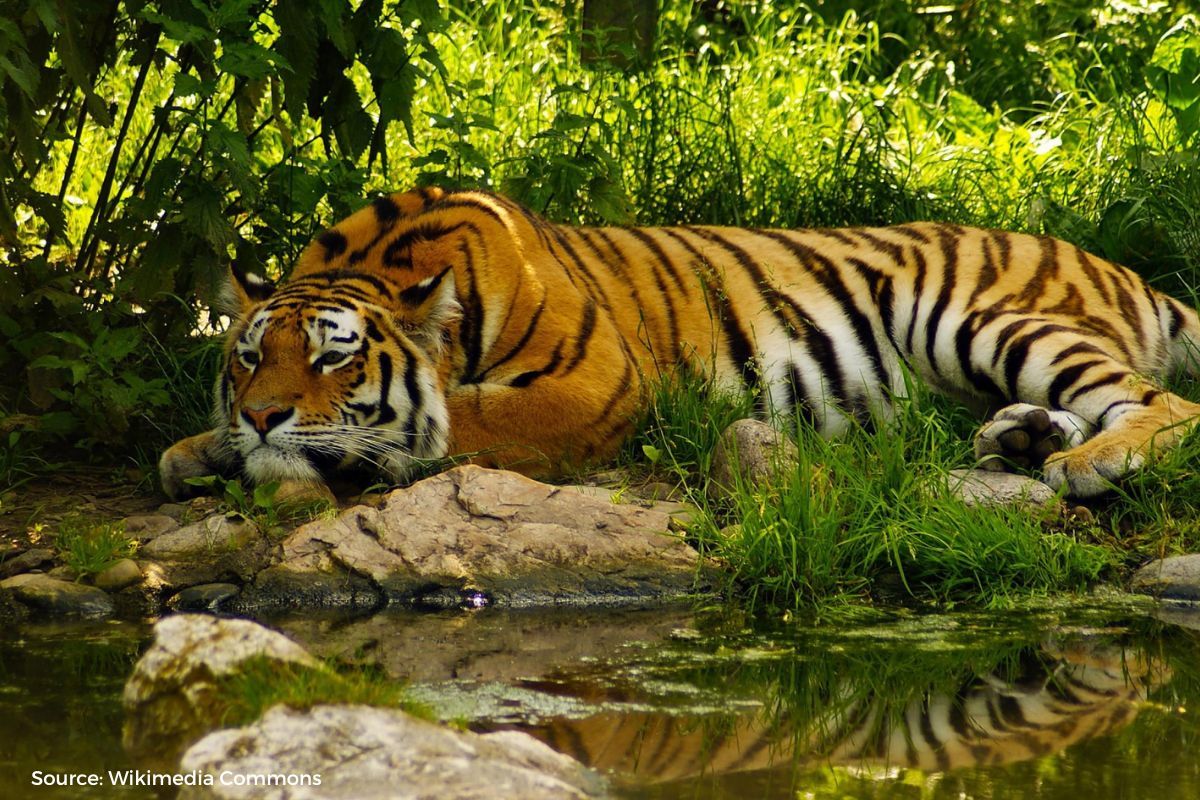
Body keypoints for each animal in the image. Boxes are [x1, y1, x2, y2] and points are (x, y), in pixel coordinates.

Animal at [159, 186, 1200, 500]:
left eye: (333, 357)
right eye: (249, 356)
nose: (263, 417)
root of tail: (1117, 266)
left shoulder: (592, 384)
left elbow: (459, 421)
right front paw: (198, 449)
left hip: (976, 316)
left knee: (1167, 402)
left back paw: (1088, 464)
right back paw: (1022, 439)